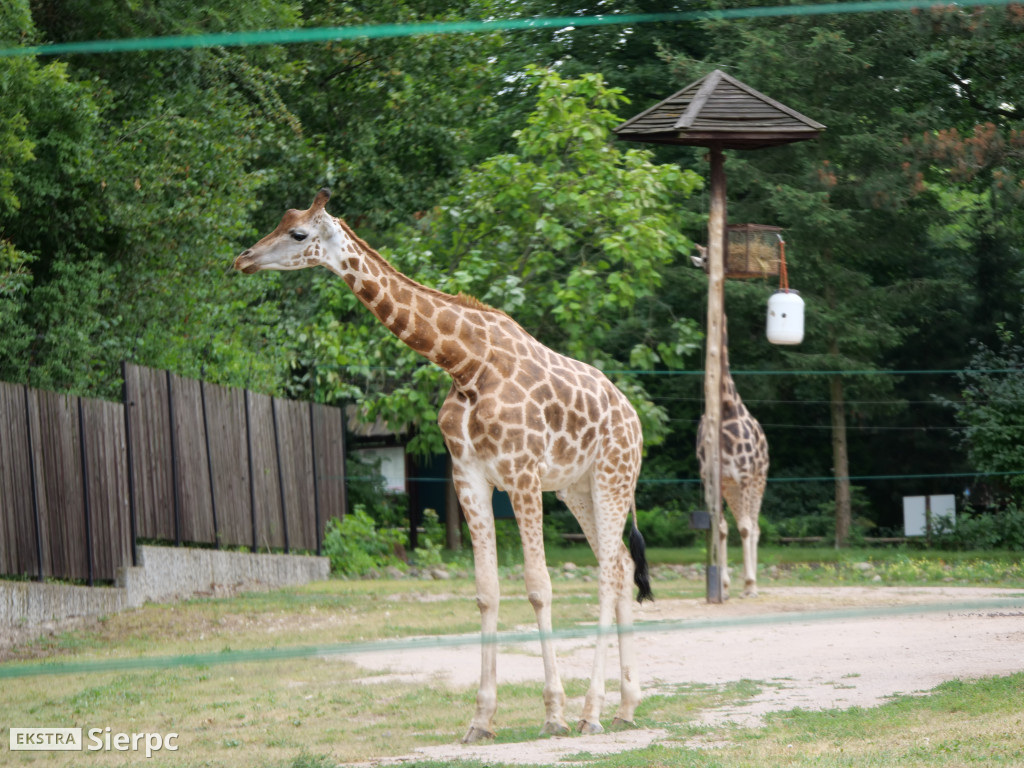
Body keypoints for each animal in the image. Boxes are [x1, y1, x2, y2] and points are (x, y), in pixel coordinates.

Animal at [233, 191, 651, 745]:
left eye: (299, 234)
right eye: (281, 223)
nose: (243, 259)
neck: (466, 365)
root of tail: (635, 419)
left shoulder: (521, 474)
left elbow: (538, 587)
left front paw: (553, 714)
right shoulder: (469, 476)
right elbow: (486, 592)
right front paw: (481, 719)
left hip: (611, 477)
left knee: (607, 573)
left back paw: (591, 712)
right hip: (576, 489)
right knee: (621, 566)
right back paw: (624, 707)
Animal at [696, 319, 770, 602]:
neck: (727, 408)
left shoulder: (746, 476)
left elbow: (746, 528)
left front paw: (749, 585)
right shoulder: (714, 480)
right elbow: (721, 528)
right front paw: (724, 586)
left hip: (759, 480)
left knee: (754, 526)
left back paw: (754, 582)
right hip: (732, 489)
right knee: (743, 525)